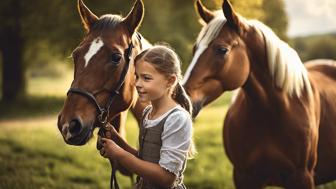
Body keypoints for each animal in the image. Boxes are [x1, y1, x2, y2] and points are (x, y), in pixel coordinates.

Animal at [182, 0, 336, 188]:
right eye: (195, 49)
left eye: (222, 49)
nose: (180, 97)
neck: (270, 113)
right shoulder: (243, 176)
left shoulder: (303, 177)